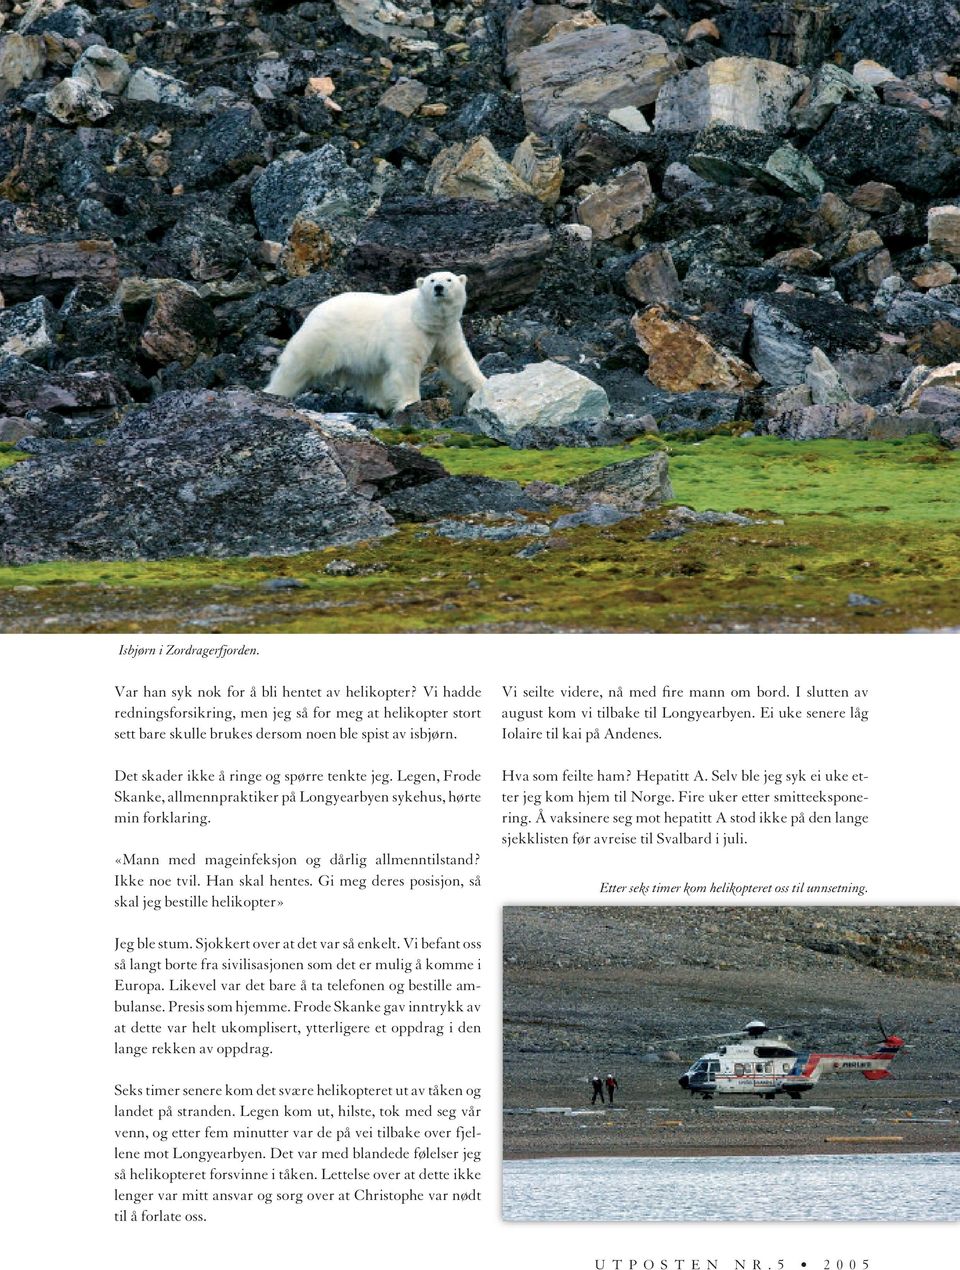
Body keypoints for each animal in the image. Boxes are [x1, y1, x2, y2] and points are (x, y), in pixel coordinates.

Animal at [264, 271, 482, 411]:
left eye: (449, 279)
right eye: (431, 280)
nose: (438, 288)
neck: (424, 318)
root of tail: (316, 310)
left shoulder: (447, 331)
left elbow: (458, 360)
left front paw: (482, 385)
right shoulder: (409, 331)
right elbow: (407, 366)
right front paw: (410, 402)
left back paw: (379, 403)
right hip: (321, 338)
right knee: (296, 366)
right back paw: (274, 393)